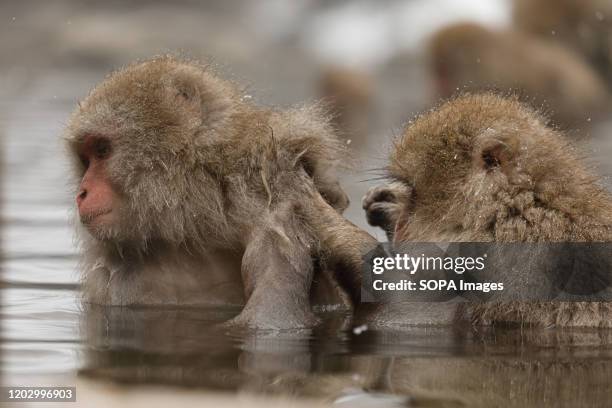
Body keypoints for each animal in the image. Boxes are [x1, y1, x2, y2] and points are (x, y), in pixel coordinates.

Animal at [64, 57, 376, 330]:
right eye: (85, 159)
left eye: (101, 150)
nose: (82, 192)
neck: (193, 231)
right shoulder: (117, 284)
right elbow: (266, 322)